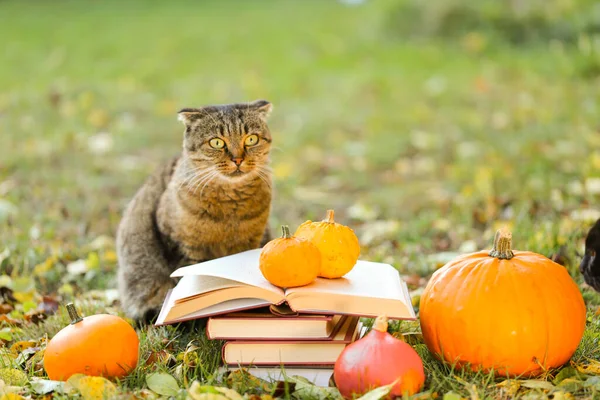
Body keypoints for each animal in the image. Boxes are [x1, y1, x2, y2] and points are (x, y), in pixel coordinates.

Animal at [116, 101, 274, 324]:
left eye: (251, 139)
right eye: (216, 143)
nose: (237, 159)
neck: (229, 210)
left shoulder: (253, 241)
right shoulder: (182, 246)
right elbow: (190, 285)